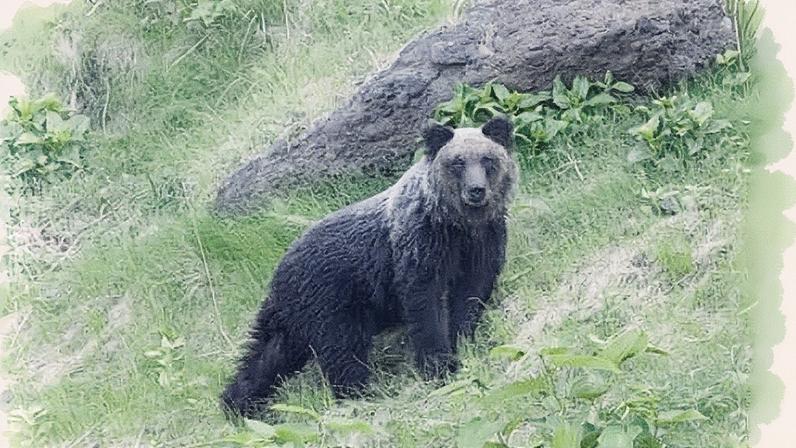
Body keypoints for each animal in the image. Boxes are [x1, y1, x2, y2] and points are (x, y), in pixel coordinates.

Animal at [221, 116, 518, 417]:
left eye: (488, 159)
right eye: (457, 162)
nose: (476, 191)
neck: (455, 225)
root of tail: (278, 272)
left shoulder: (482, 243)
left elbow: (471, 294)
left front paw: (463, 343)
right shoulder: (420, 247)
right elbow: (426, 305)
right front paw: (439, 364)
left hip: (295, 316)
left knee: (268, 353)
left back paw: (239, 403)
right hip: (332, 302)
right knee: (342, 351)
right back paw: (359, 394)